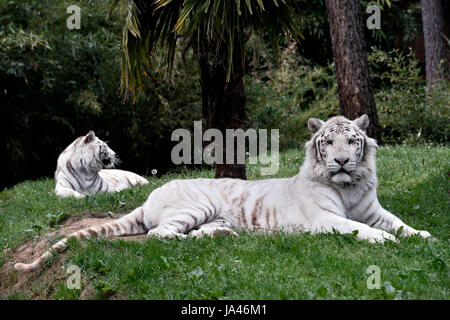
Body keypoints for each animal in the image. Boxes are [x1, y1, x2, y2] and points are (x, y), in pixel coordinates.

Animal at [14, 115, 432, 272]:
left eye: (352, 140)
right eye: (328, 143)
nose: (343, 161)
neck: (349, 185)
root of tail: (148, 198)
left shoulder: (374, 209)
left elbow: (399, 223)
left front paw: (424, 236)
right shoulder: (324, 218)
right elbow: (360, 229)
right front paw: (384, 241)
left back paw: (224, 235)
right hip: (194, 206)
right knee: (159, 234)